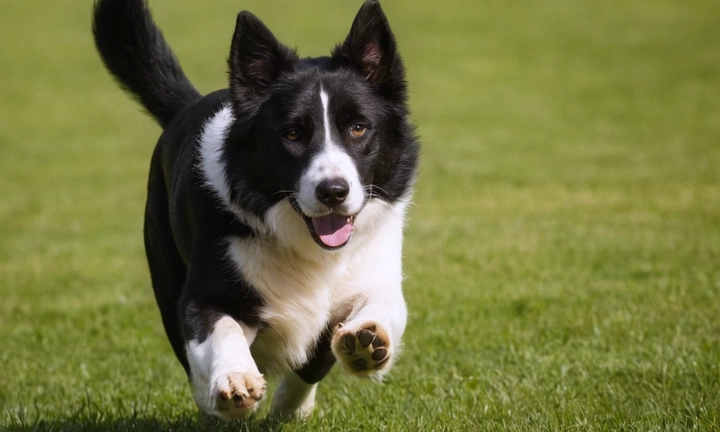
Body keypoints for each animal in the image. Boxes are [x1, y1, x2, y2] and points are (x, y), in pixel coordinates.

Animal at [95, 0, 422, 420]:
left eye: (359, 128)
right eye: (293, 134)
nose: (333, 191)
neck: (307, 248)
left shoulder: (373, 277)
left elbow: (378, 309)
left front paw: (367, 343)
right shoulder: (202, 297)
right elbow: (221, 330)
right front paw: (235, 380)